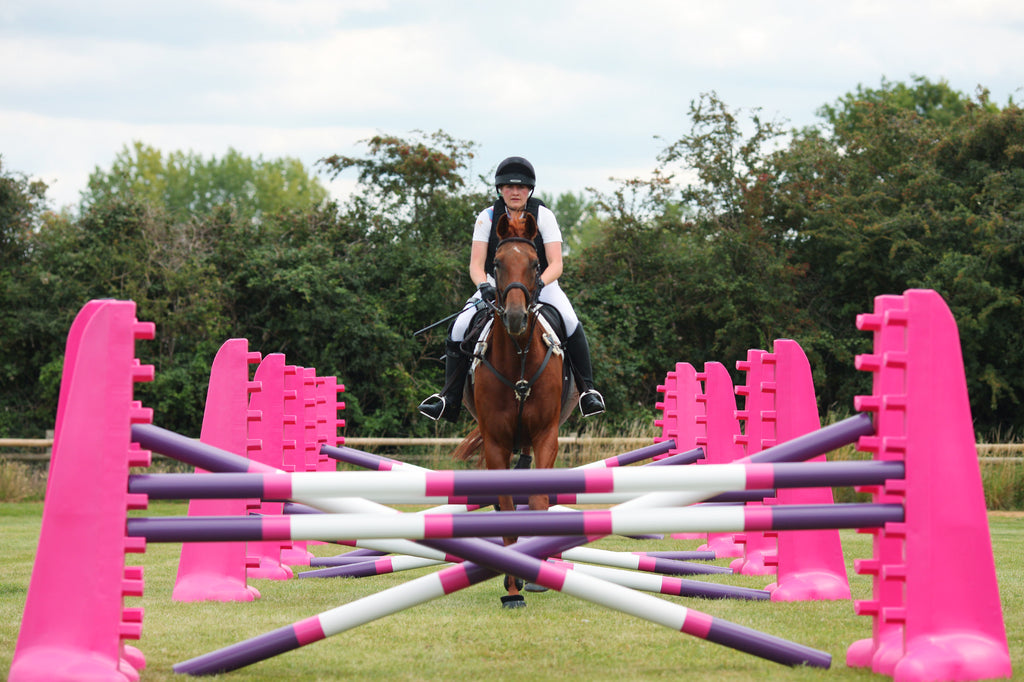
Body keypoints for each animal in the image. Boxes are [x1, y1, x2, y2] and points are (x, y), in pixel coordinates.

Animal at [454, 209, 577, 606]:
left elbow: (537, 501)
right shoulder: (496, 443)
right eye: (496, 263)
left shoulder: (545, 436)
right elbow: (506, 509)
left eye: (536, 263)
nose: (514, 317)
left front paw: (535, 575)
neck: (520, 358)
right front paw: (512, 588)